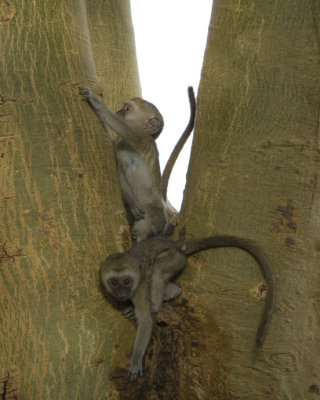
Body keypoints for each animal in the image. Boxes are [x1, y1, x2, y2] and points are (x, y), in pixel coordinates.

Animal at [79, 86, 195, 242]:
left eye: (126, 109)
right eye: (123, 108)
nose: (118, 111)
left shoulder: (140, 138)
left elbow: (124, 128)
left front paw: (95, 101)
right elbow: (120, 172)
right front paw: (130, 201)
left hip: (156, 213)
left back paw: (140, 237)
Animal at [99, 234, 276, 382]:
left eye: (126, 281)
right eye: (114, 282)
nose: (121, 292)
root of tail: (177, 246)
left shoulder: (139, 289)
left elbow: (146, 322)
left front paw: (136, 359)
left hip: (174, 260)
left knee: (157, 269)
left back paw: (155, 304)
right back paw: (172, 292)